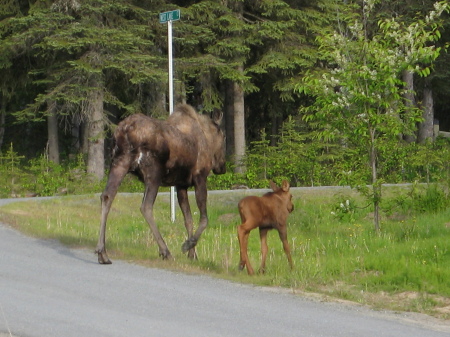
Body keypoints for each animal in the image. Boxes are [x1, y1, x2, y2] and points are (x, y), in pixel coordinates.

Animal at [96, 102, 227, 262]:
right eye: (224, 136)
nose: (222, 167)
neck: (207, 138)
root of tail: (124, 131)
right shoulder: (200, 177)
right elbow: (204, 219)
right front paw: (188, 245)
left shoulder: (181, 185)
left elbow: (188, 219)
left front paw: (192, 254)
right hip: (153, 173)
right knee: (146, 207)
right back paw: (166, 251)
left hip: (119, 163)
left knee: (107, 196)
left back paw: (102, 252)